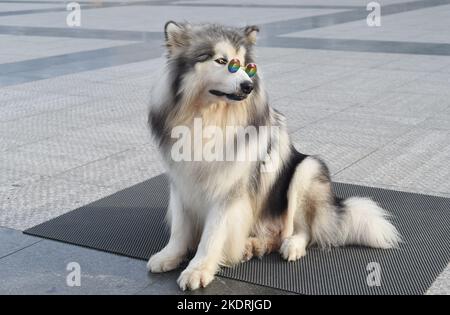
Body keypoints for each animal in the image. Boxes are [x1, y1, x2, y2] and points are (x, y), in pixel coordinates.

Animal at [146, 21, 400, 292]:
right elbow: (180, 228)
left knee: (302, 229)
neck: (209, 117)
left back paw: (291, 245)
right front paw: (170, 255)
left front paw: (198, 268)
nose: (248, 86)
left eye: (246, 66)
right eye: (222, 61)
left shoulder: (230, 189)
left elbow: (212, 234)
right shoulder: (181, 182)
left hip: (306, 170)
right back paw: (253, 245)